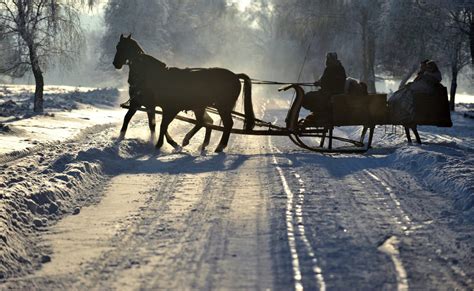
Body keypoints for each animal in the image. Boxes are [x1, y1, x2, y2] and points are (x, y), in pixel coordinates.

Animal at [112, 34, 254, 153]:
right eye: (117, 46)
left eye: (123, 47)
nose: (115, 64)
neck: (151, 75)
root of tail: (235, 76)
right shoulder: (141, 104)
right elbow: (139, 121)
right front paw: (121, 137)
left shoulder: (169, 108)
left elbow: (162, 126)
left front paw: (161, 144)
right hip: (201, 107)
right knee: (205, 122)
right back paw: (197, 143)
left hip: (222, 107)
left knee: (226, 124)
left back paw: (219, 146)